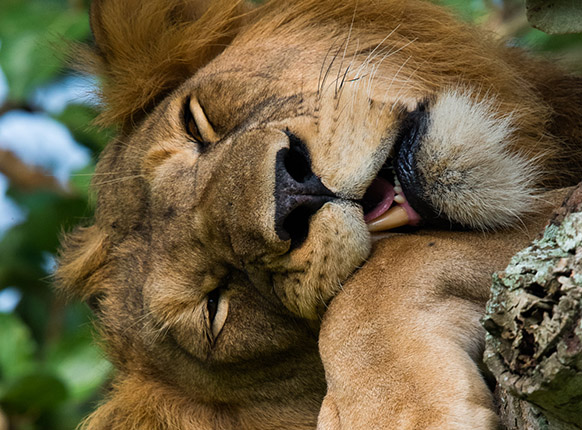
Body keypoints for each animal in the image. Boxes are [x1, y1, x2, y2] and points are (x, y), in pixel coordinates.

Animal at [56, 0, 582, 428]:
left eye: (197, 124)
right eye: (215, 305)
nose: (293, 192)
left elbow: (388, 271)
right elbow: (381, 273)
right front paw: (396, 409)